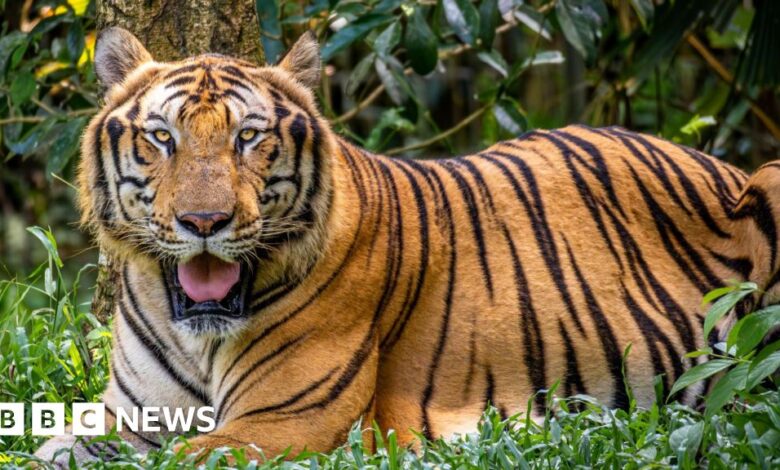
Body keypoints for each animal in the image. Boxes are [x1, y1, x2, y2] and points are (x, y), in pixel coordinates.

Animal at [36, 27, 780, 464]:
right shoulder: (127, 416)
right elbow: (49, 449)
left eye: (248, 137)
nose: (204, 222)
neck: (189, 327)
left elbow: (179, 456)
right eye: (162, 138)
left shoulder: (284, 420)